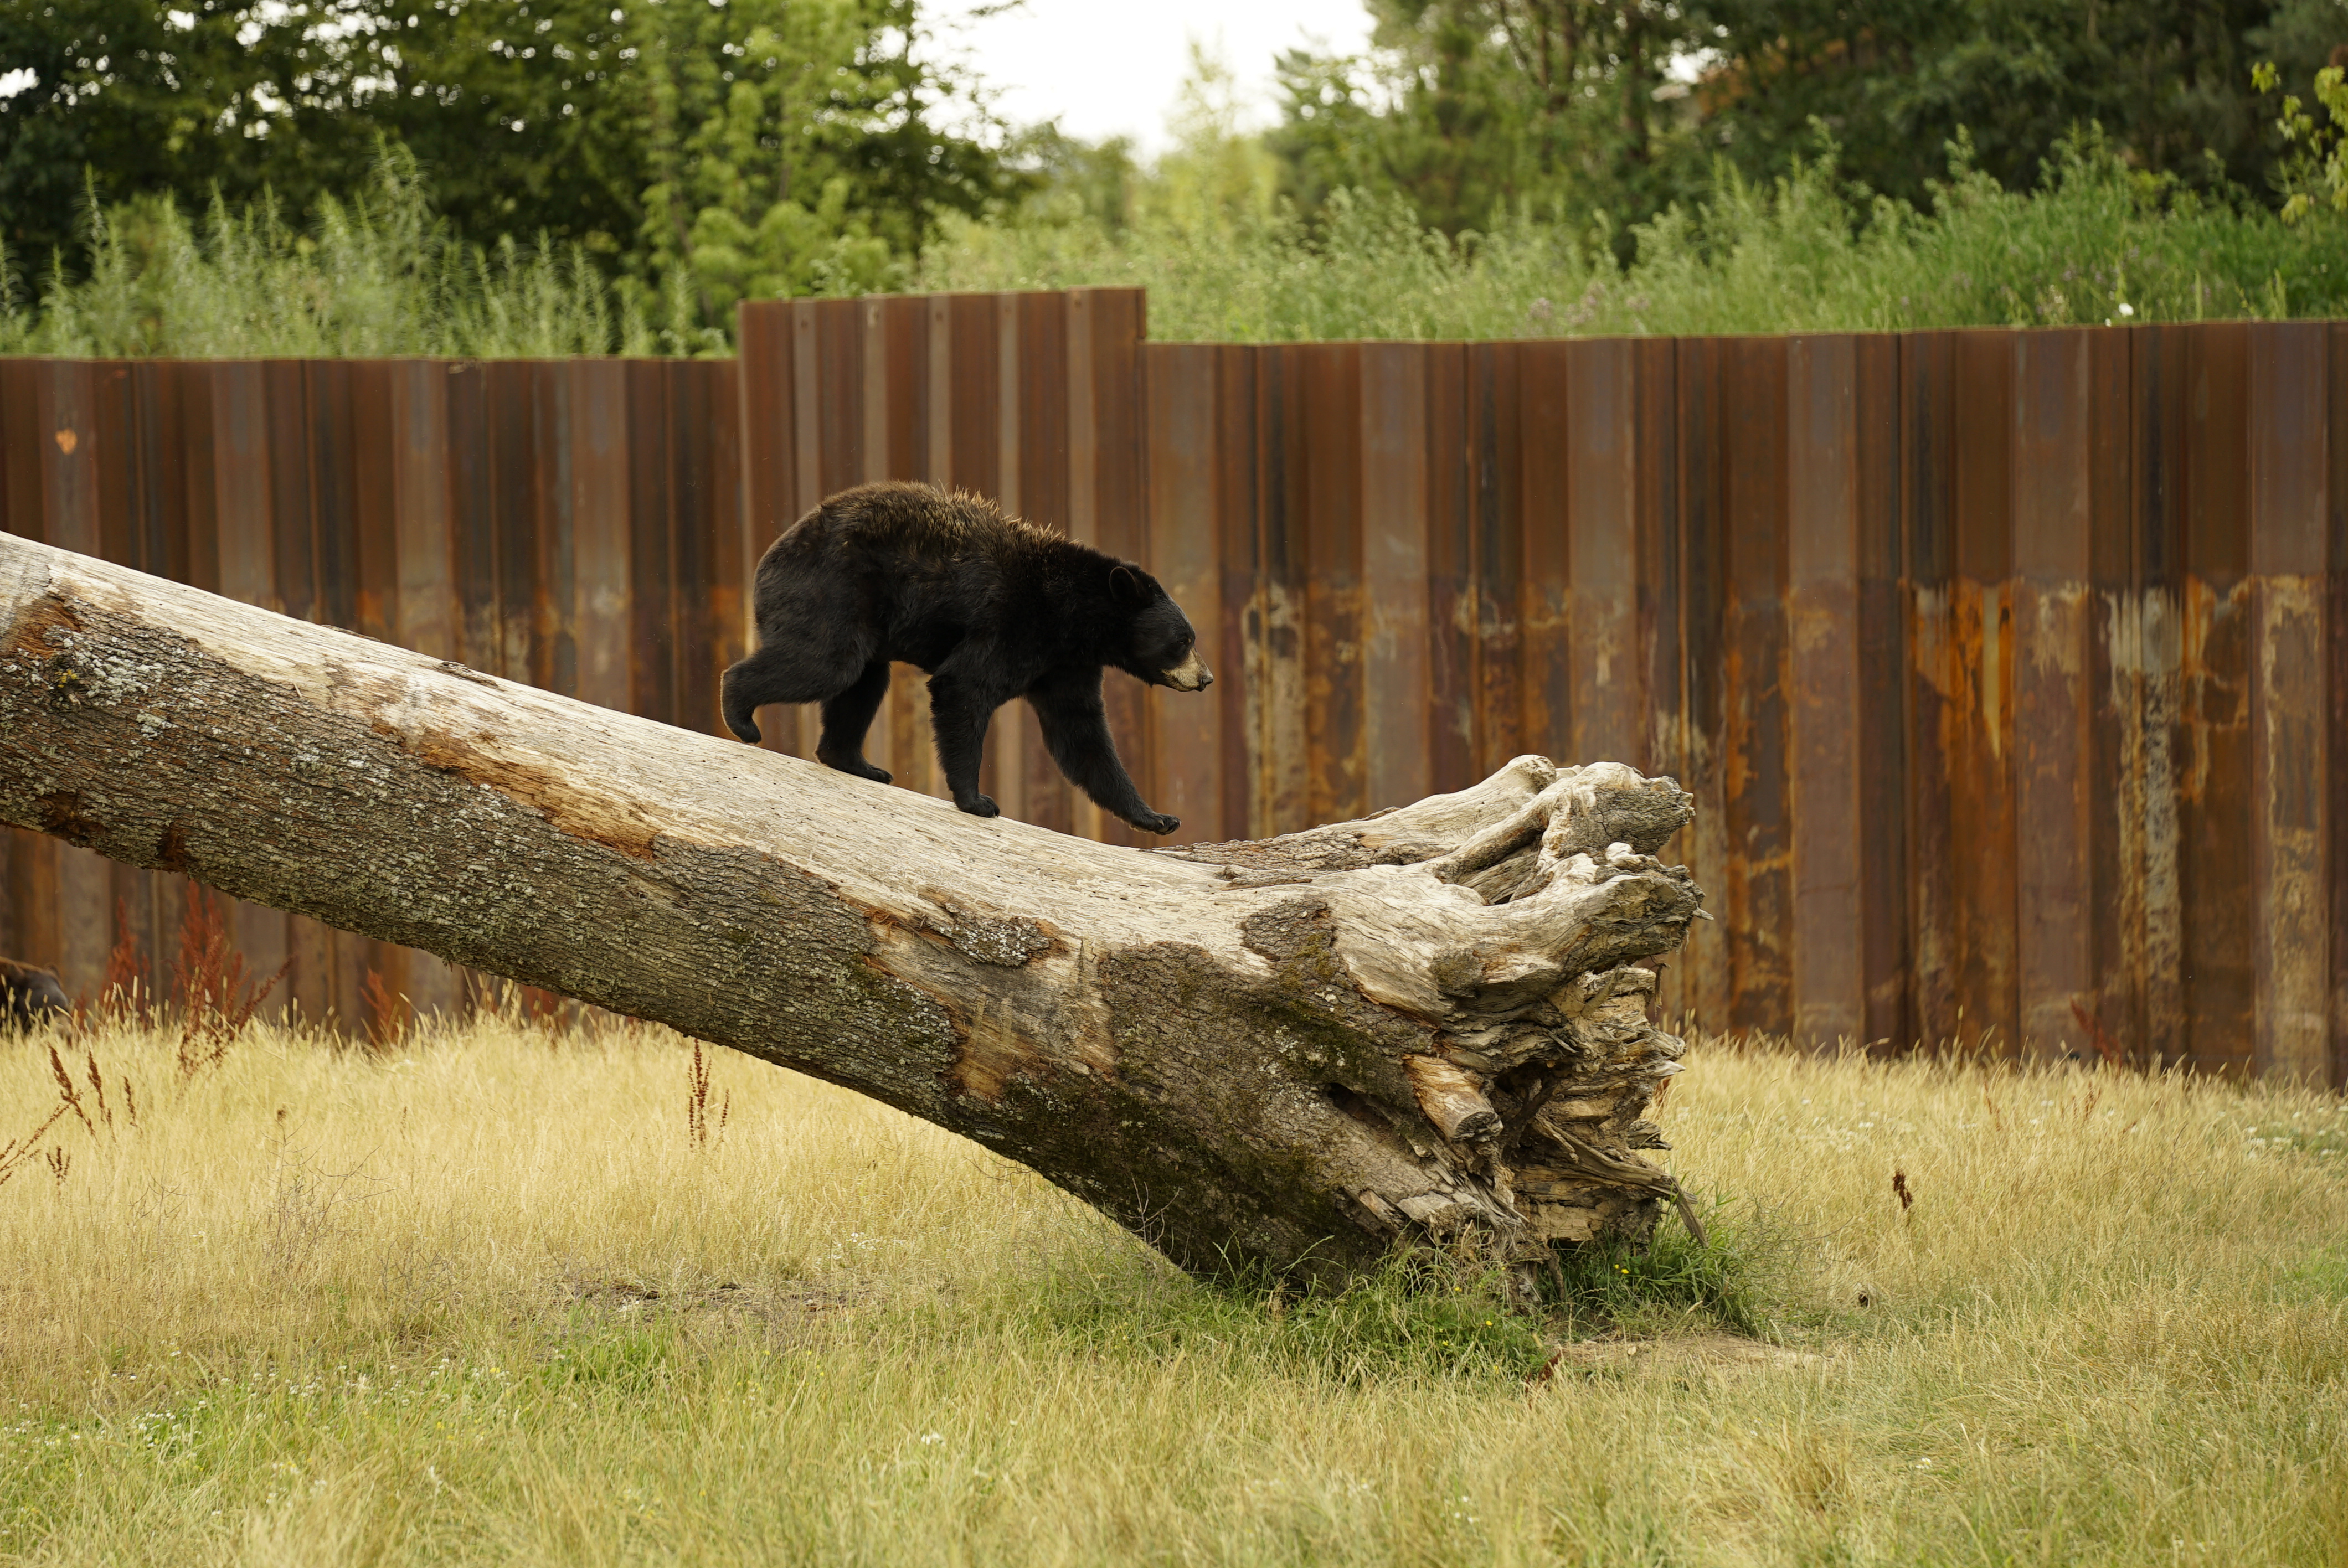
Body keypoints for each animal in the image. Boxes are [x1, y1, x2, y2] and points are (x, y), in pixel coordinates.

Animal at [723, 486, 1211, 831]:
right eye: (1184, 639)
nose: (1206, 678)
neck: (1075, 618)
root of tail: (770, 557)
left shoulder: (1065, 666)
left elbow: (1081, 733)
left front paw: (1157, 817)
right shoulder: (1013, 623)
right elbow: (964, 686)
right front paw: (977, 801)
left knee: (863, 682)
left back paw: (857, 763)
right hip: (832, 589)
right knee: (826, 663)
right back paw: (741, 717)